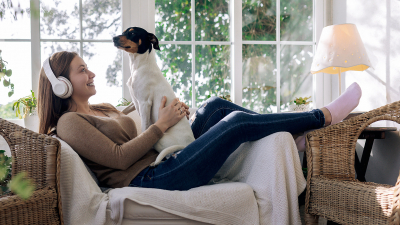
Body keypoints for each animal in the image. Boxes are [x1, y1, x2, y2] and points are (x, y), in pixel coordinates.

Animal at [112, 26, 195, 167]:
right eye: (123, 32)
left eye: (132, 33)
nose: (113, 38)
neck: (139, 66)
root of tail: (189, 144)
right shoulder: (135, 102)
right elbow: (123, 111)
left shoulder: (144, 103)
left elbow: (144, 127)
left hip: (161, 139)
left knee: (167, 154)